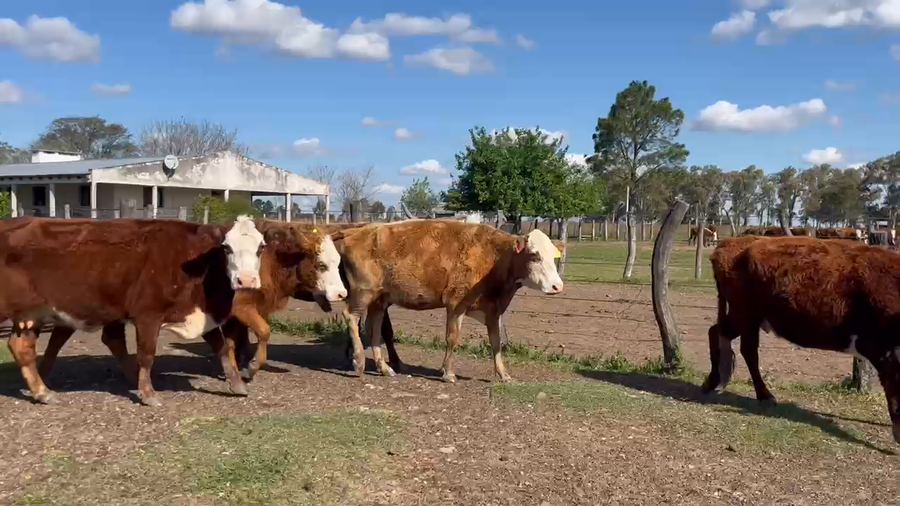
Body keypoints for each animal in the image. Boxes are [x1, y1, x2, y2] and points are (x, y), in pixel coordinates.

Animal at [0, 215, 271, 406]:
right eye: (227, 248)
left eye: (261, 247)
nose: (246, 280)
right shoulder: (147, 315)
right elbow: (147, 354)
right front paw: (148, 393)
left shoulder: (201, 313)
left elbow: (222, 348)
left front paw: (237, 384)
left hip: (30, 315)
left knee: (21, 347)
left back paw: (43, 392)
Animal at [334, 220, 565, 383]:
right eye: (534, 255)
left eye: (553, 256)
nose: (557, 286)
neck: (494, 257)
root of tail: (357, 231)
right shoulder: (456, 303)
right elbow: (453, 338)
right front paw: (448, 373)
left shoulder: (492, 310)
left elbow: (496, 343)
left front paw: (503, 374)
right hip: (363, 292)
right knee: (350, 316)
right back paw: (358, 361)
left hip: (379, 299)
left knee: (374, 328)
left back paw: (384, 367)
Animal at [702, 236, 900, 444]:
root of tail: (731, 241)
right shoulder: (887, 353)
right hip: (745, 314)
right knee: (745, 348)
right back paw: (761, 394)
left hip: (746, 317)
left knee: (720, 333)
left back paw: (716, 380)